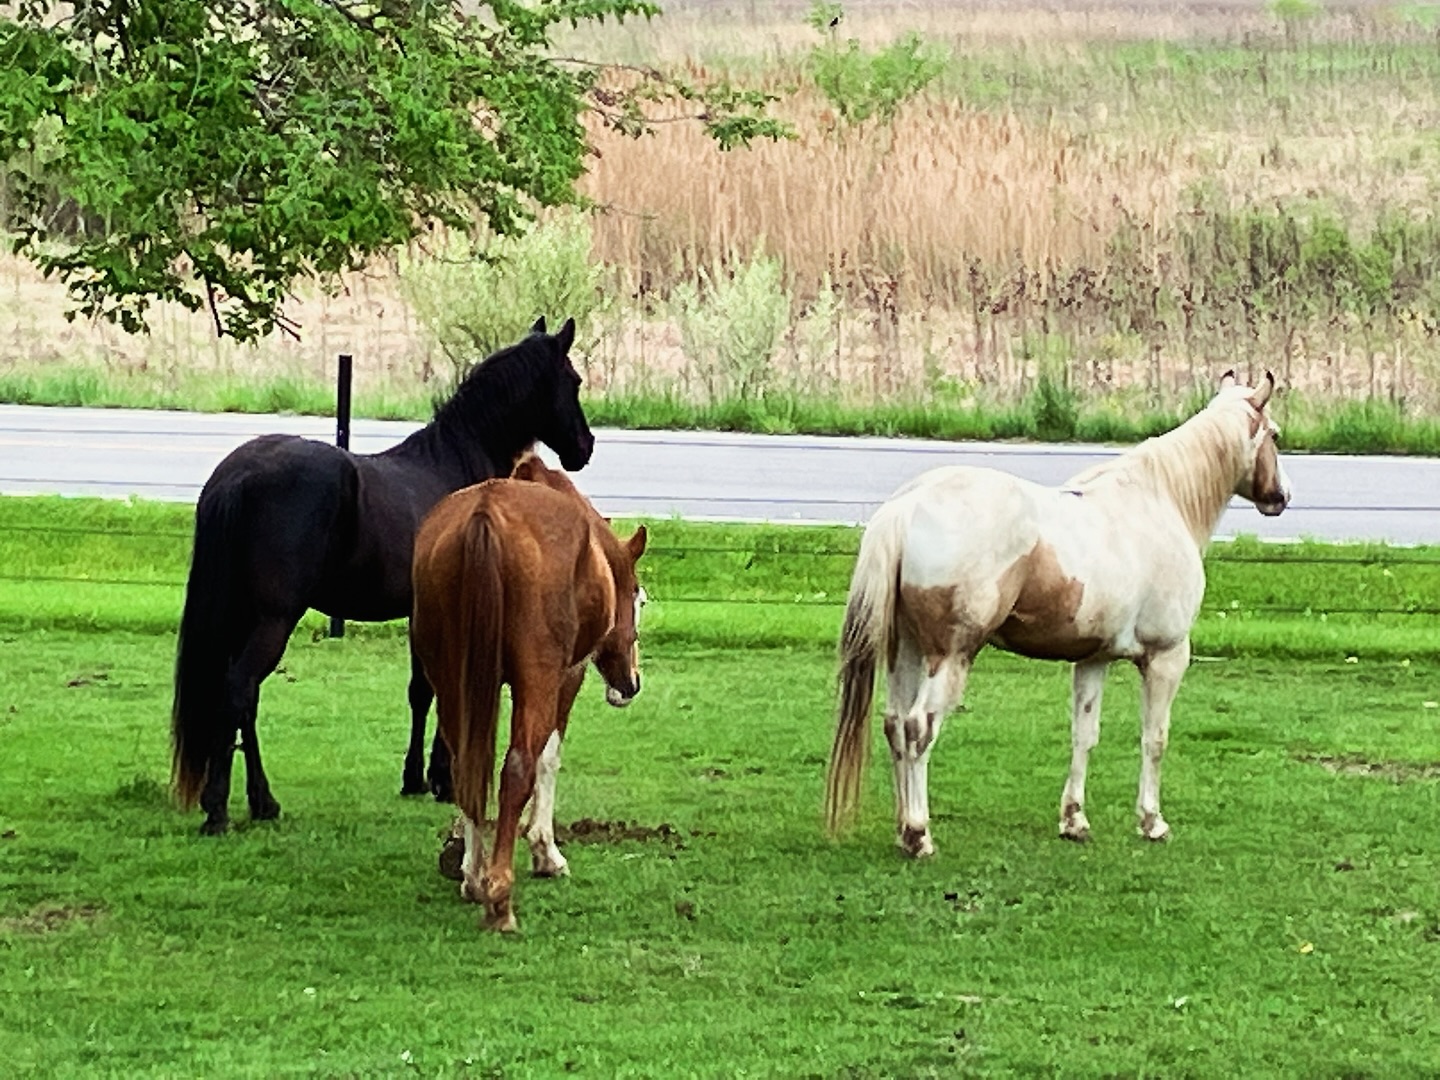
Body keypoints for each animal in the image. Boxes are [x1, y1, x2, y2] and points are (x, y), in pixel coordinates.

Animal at [171, 317, 595, 836]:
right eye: (573, 380)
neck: (455, 464)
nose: (584, 447)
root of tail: (237, 477)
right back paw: (222, 807)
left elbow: (420, 692)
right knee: (240, 691)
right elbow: (438, 688)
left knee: (237, 699)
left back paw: (260, 801)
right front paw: (440, 778)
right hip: (273, 618)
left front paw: (417, 778)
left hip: (241, 617)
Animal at [410, 455, 647, 932]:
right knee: (516, 768)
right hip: (536, 680)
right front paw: (546, 851)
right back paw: (499, 896)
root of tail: (487, 513)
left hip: (449, 678)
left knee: (466, 768)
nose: (631, 684)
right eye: (640, 600)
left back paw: (474, 877)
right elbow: (546, 759)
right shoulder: (566, 676)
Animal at [825, 372, 1292, 857]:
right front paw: (1152, 821)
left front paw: (1074, 820)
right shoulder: (1167, 657)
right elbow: (1155, 738)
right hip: (949, 657)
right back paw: (919, 834)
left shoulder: (1093, 660)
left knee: (896, 726)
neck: (1161, 503)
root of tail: (908, 505)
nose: (1281, 496)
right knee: (919, 728)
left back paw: (904, 830)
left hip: (907, 651)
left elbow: (1084, 735)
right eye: (1275, 435)